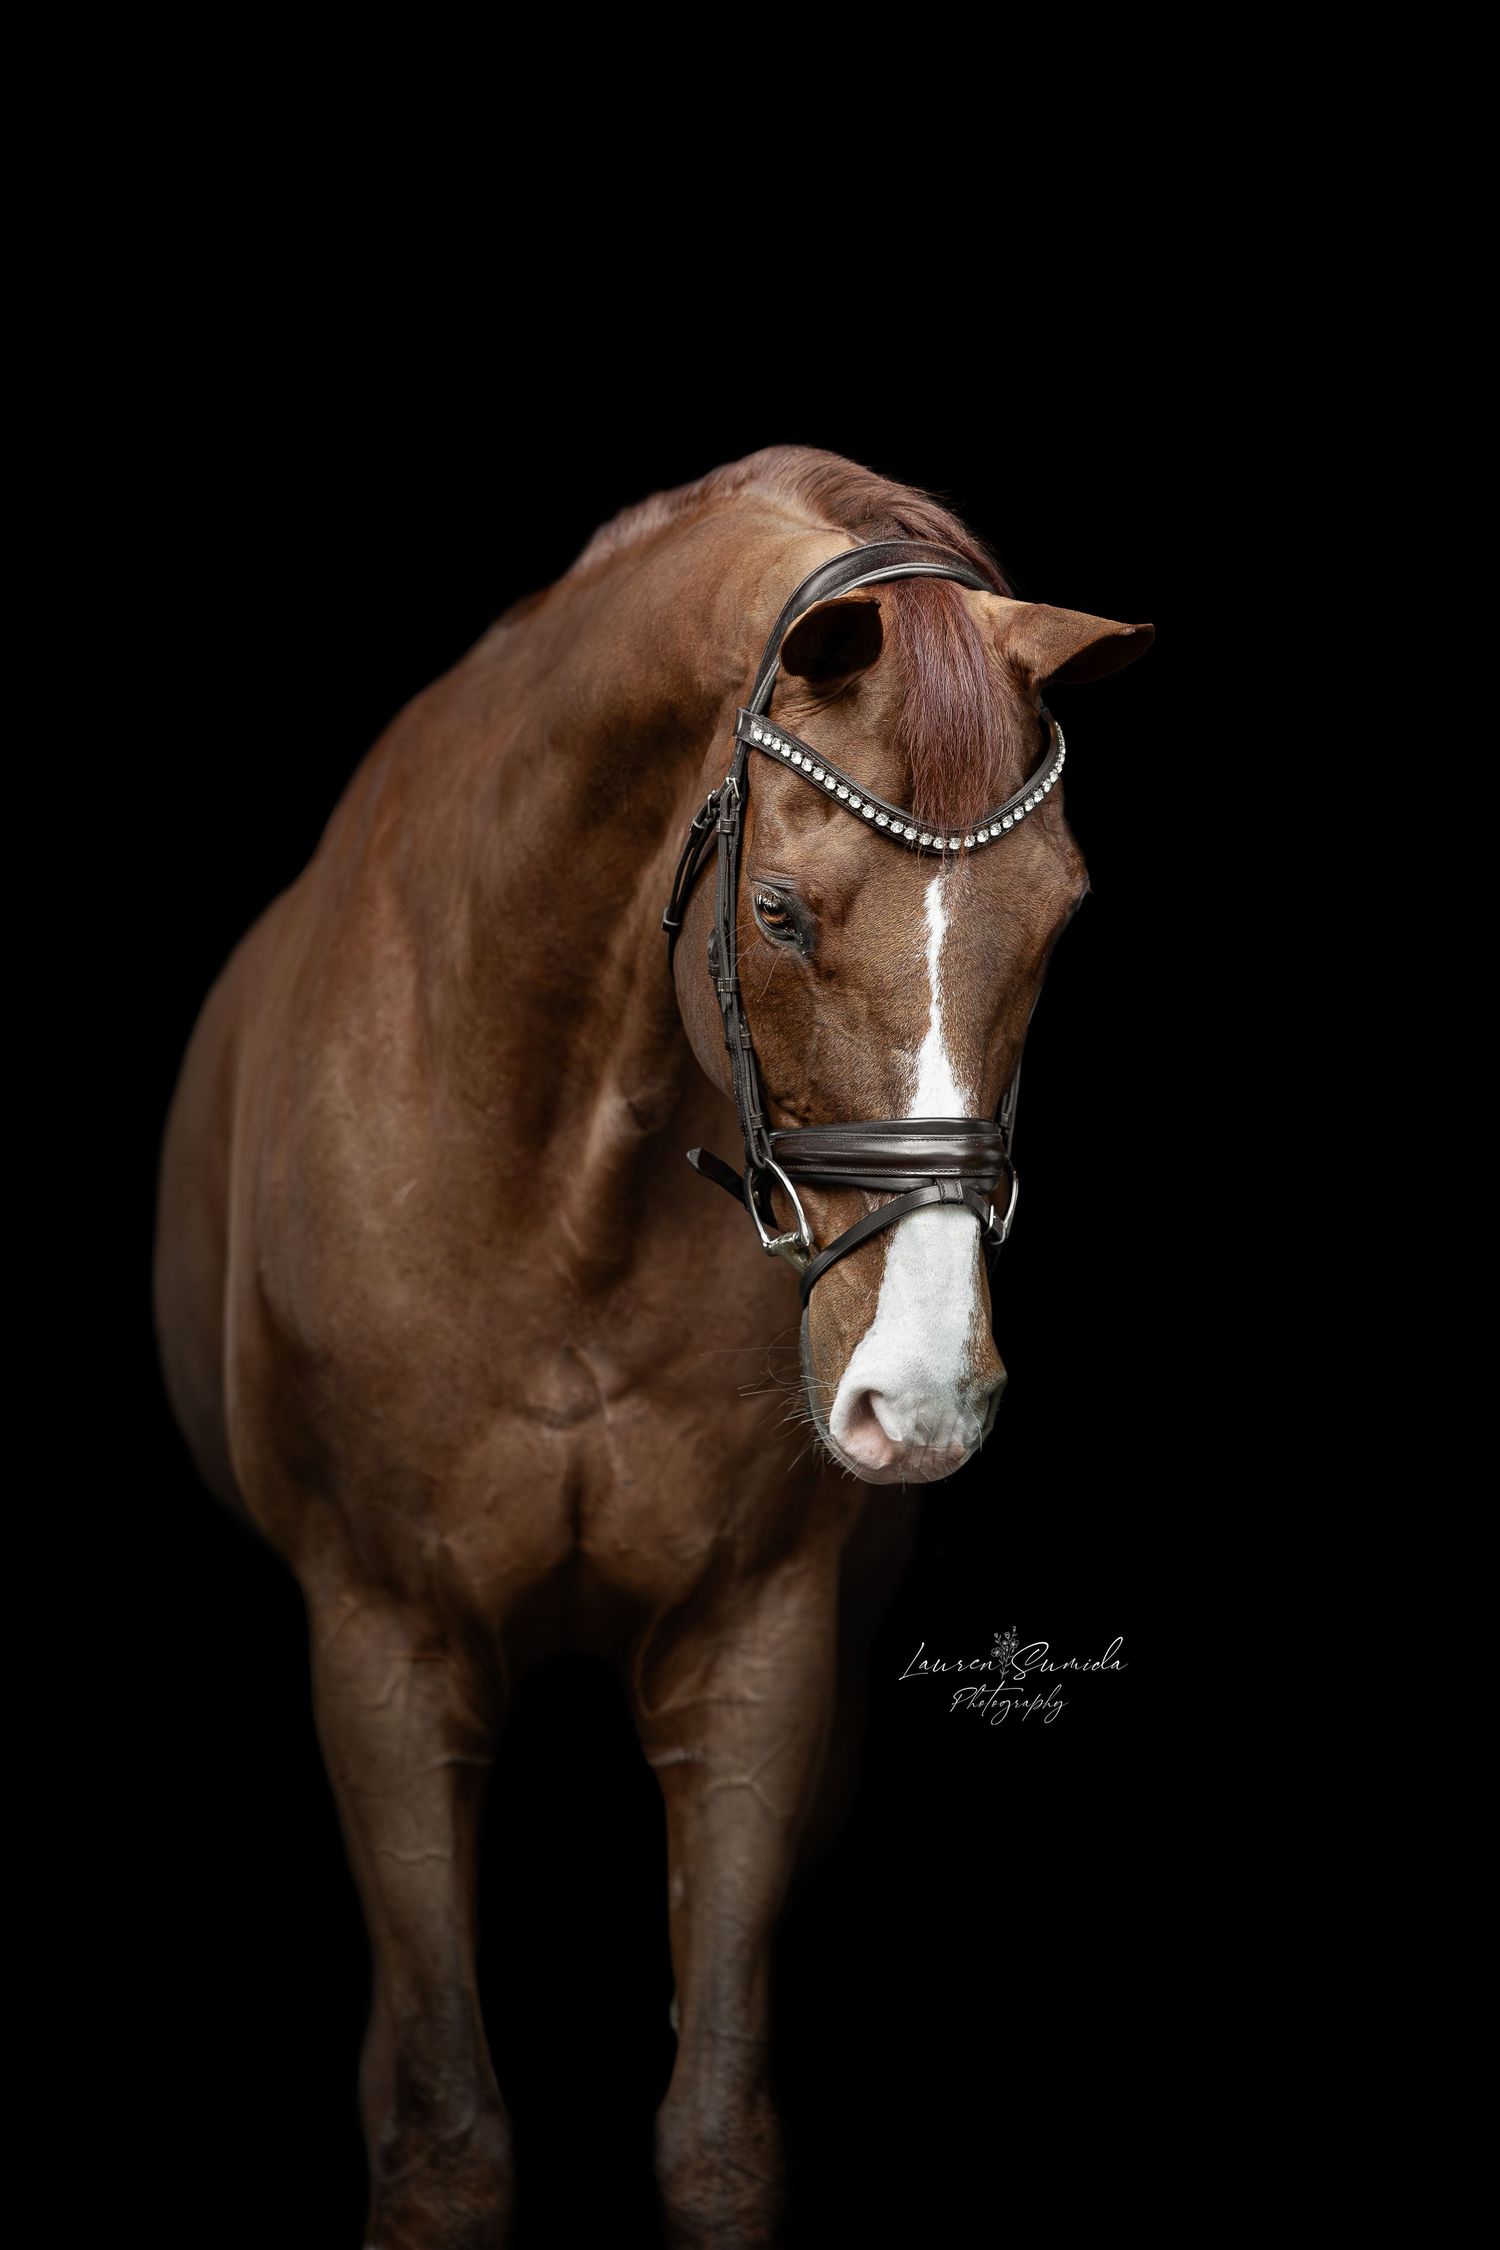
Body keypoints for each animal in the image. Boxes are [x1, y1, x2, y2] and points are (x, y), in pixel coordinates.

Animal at [153, 444, 1152, 2248]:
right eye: (781, 910)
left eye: (1060, 917)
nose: (923, 1392)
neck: (555, 1181)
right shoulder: (383, 1646)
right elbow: (445, 2143)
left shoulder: (756, 1647)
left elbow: (717, 2131)